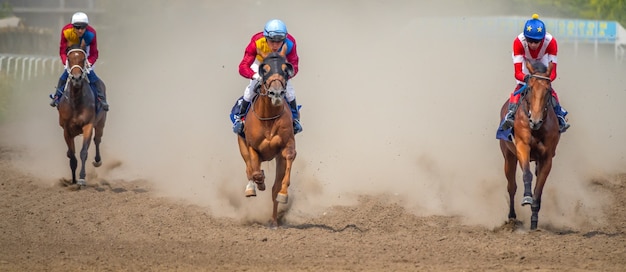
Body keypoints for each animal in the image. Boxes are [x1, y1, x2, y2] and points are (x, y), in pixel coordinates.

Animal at [56, 44, 107, 186]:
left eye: (83, 58)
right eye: (69, 58)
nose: (77, 78)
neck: (76, 102)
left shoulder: (88, 125)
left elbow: (83, 152)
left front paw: (82, 178)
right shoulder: (66, 130)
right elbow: (72, 155)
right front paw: (73, 180)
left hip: (101, 123)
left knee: (97, 140)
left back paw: (97, 160)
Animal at [238, 51, 296, 227]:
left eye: (285, 69)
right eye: (265, 69)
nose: (276, 93)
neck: (268, 117)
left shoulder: (287, 145)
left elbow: (289, 156)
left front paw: (283, 194)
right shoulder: (252, 147)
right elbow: (255, 172)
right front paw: (258, 182)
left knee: (274, 188)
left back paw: (274, 221)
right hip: (242, 146)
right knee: (249, 169)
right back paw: (252, 187)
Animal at [500, 60, 560, 230]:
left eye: (548, 90)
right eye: (530, 88)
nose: (535, 120)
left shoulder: (547, 158)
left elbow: (539, 189)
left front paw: (534, 220)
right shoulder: (522, 147)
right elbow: (527, 174)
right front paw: (527, 197)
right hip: (509, 156)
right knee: (511, 187)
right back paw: (512, 217)